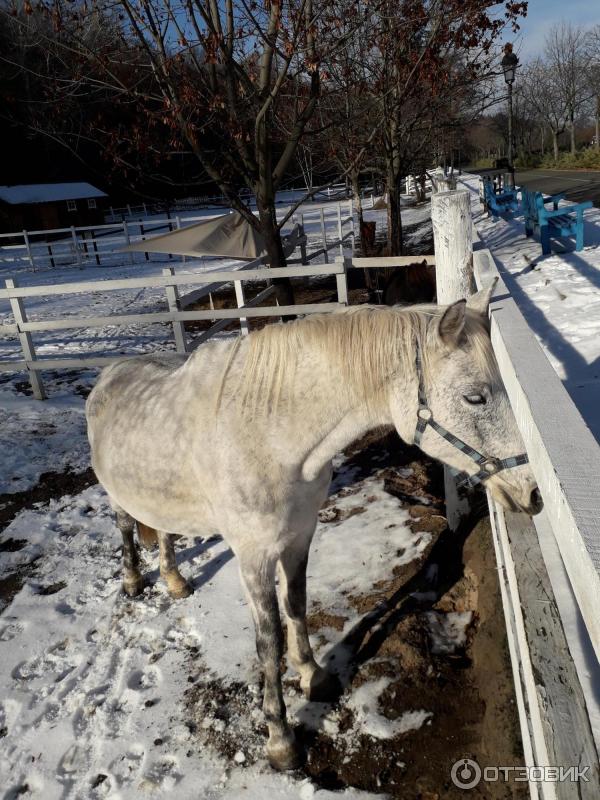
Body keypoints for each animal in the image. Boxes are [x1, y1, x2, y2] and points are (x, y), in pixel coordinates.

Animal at [86, 288, 540, 768]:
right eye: (475, 398)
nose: (533, 493)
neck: (270, 437)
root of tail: (109, 375)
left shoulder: (300, 535)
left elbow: (298, 604)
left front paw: (313, 676)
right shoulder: (254, 557)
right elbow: (268, 642)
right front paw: (280, 739)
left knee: (164, 532)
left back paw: (174, 581)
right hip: (118, 497)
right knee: (125, 527)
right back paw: (133, 580)